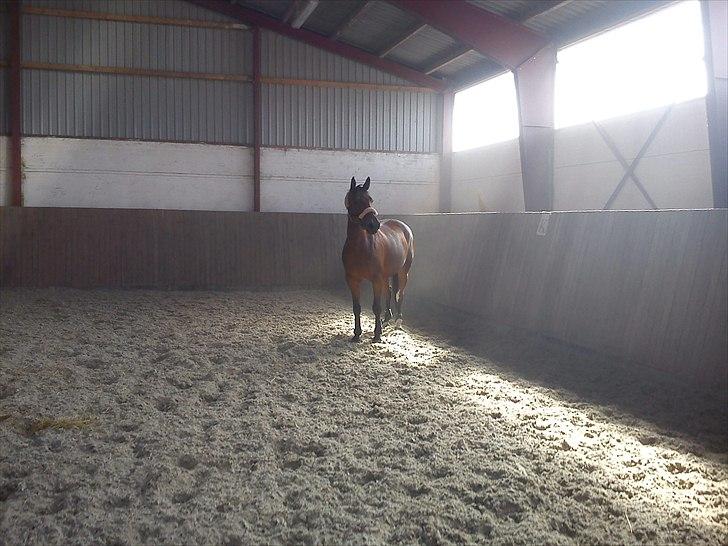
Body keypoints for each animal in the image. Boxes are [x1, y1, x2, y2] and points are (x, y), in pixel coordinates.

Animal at [342, 176, 414, 343]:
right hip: (386, 275)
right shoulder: (352, 280)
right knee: (389, 291)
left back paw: (398, 321)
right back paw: (386, 319)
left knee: (400, 293)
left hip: (403, 272)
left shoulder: (375, 279)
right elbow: (357, 307)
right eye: (355, 201)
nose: (373, 225)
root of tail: (403, 227)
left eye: (370, 200)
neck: (360, 247)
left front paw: (377, 335)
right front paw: (357, 334)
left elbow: (376, 307)